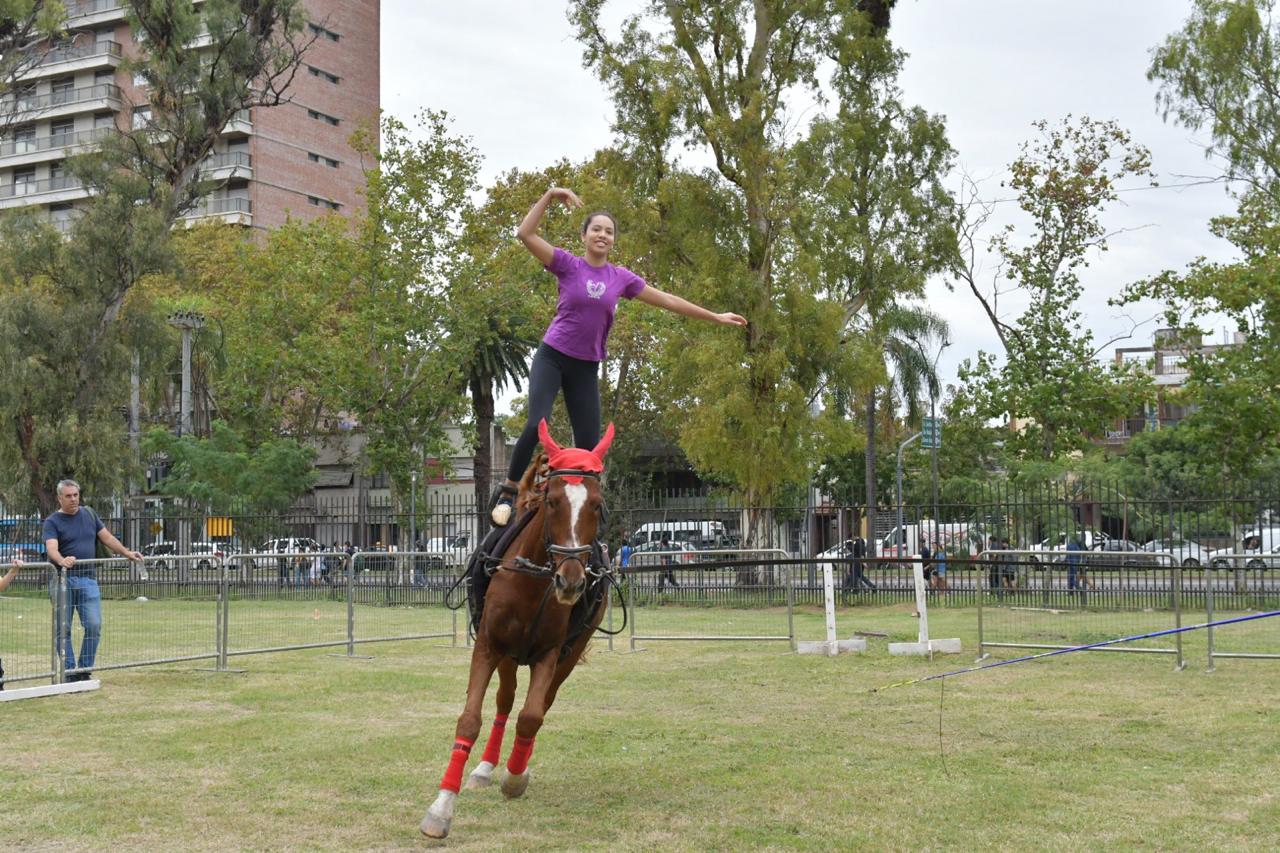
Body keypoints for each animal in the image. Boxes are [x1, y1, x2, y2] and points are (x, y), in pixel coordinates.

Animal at [421, 419, 614, 839]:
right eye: (553, 501)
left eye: (596, 504)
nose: (571, 582)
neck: (534, 581)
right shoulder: (490, 646)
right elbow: (471, 718)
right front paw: (441, 809)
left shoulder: (550, 654)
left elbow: (532, 716)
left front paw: (515, 776)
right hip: (508, 656)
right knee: (504, 701)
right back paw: (484, 767)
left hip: (569, 653)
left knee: (538, 704)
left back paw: (514, 765)